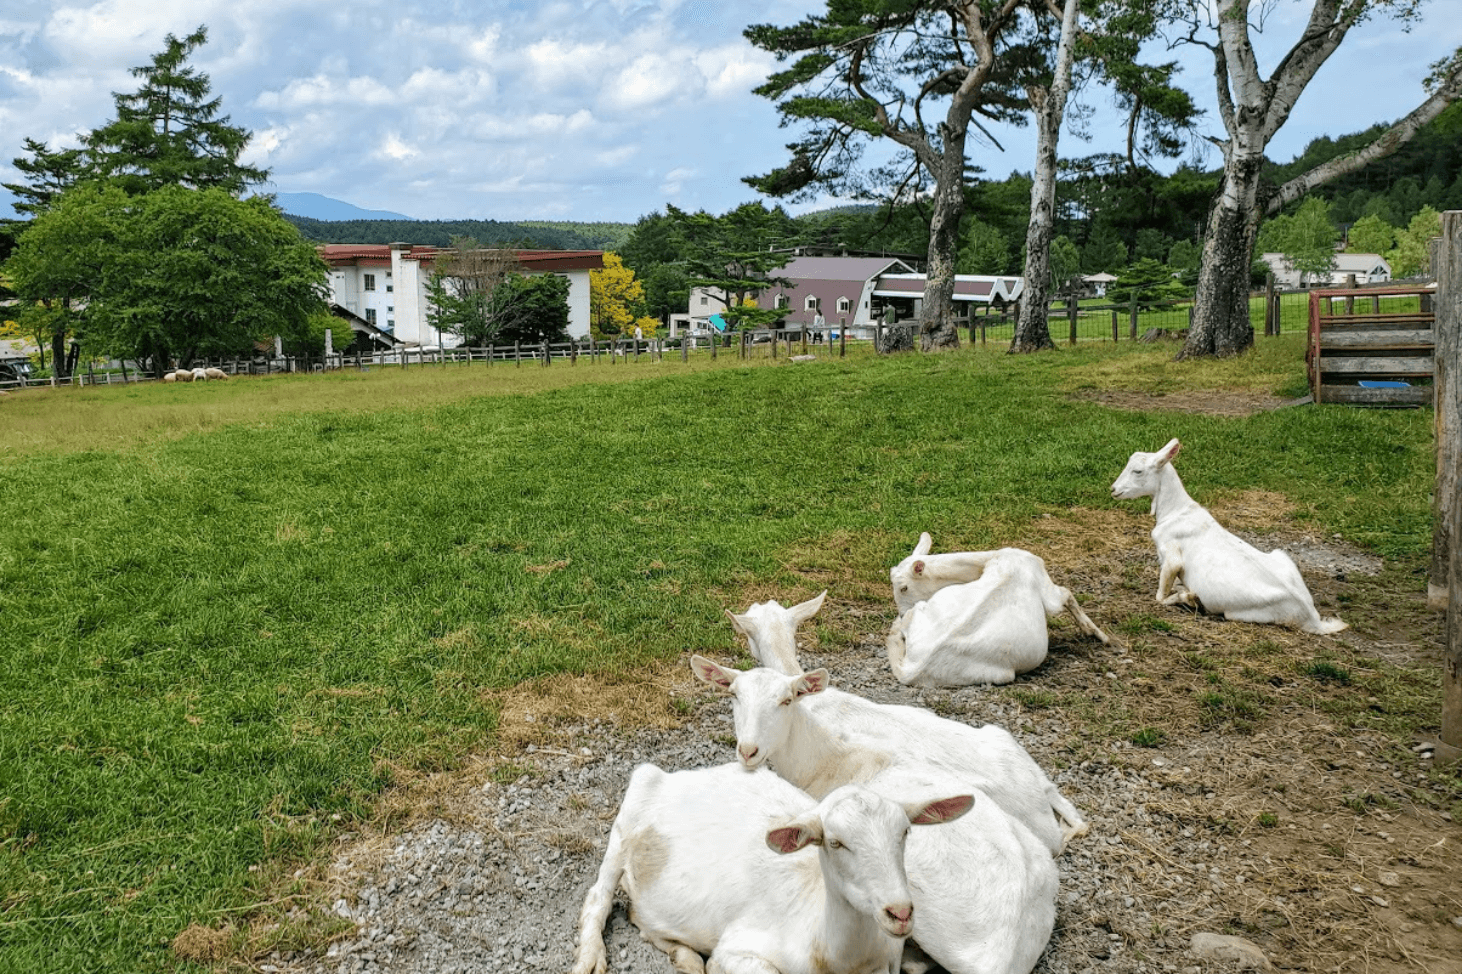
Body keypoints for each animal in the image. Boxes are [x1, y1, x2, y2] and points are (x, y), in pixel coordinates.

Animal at [567, 760, 970, 971]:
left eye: (905, 832)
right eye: (835, 841)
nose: (899, 913)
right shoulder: (740, 951)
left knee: (640, 917)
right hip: (628, 816)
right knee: (598, 897)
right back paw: (591, 959)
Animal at [883, 535, 1111, 687]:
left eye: (903, 587)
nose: (902, 613)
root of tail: (913, 670)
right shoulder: (1048, 592)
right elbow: (1066, 595)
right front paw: (1102, 636)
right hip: (1000, 674)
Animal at [1105, 435, 1345, 634]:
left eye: (1138, 471)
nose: (1113, 489)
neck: (1176, 512)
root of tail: (1312, 618)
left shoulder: (1171, 558)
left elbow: (1160, 596)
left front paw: (1188, 596)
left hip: (1239, 611)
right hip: (1282, 556)